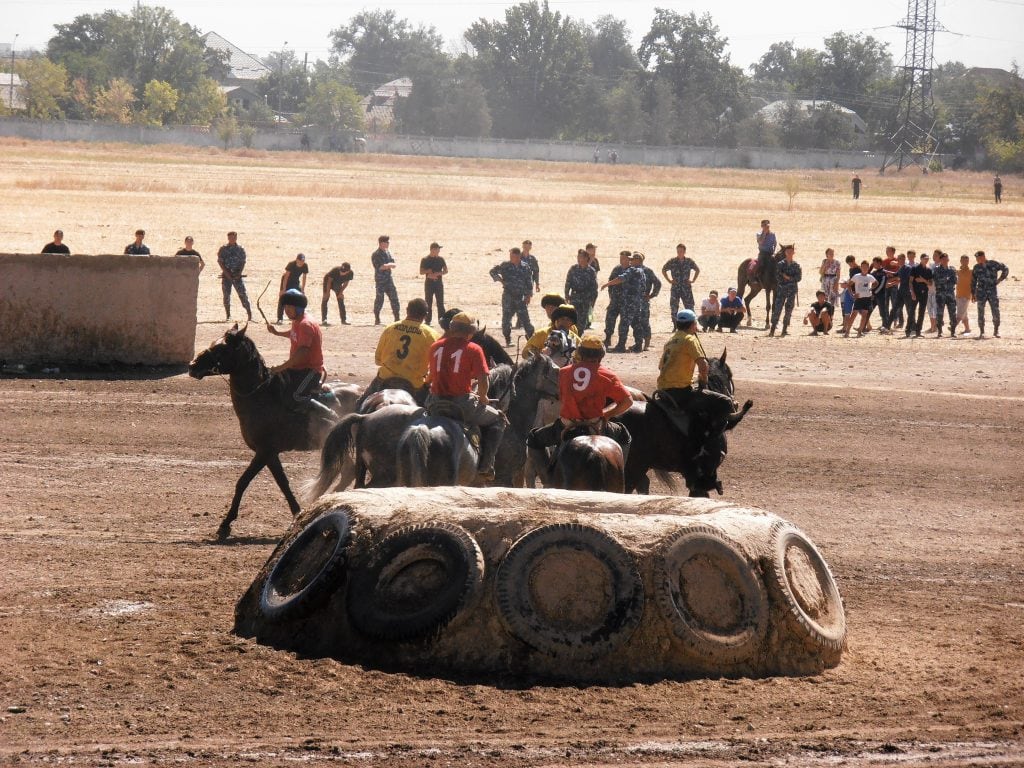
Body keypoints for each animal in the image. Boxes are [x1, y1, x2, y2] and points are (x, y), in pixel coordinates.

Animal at [190, 325, 362, 540]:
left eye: (221, 349)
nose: (192, 365)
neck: (262, 398)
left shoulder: (264, 451)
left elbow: (243, 482)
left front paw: (226, 523)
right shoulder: (270, 455)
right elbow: (283, 483)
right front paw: (297, 514)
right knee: (348, 471)